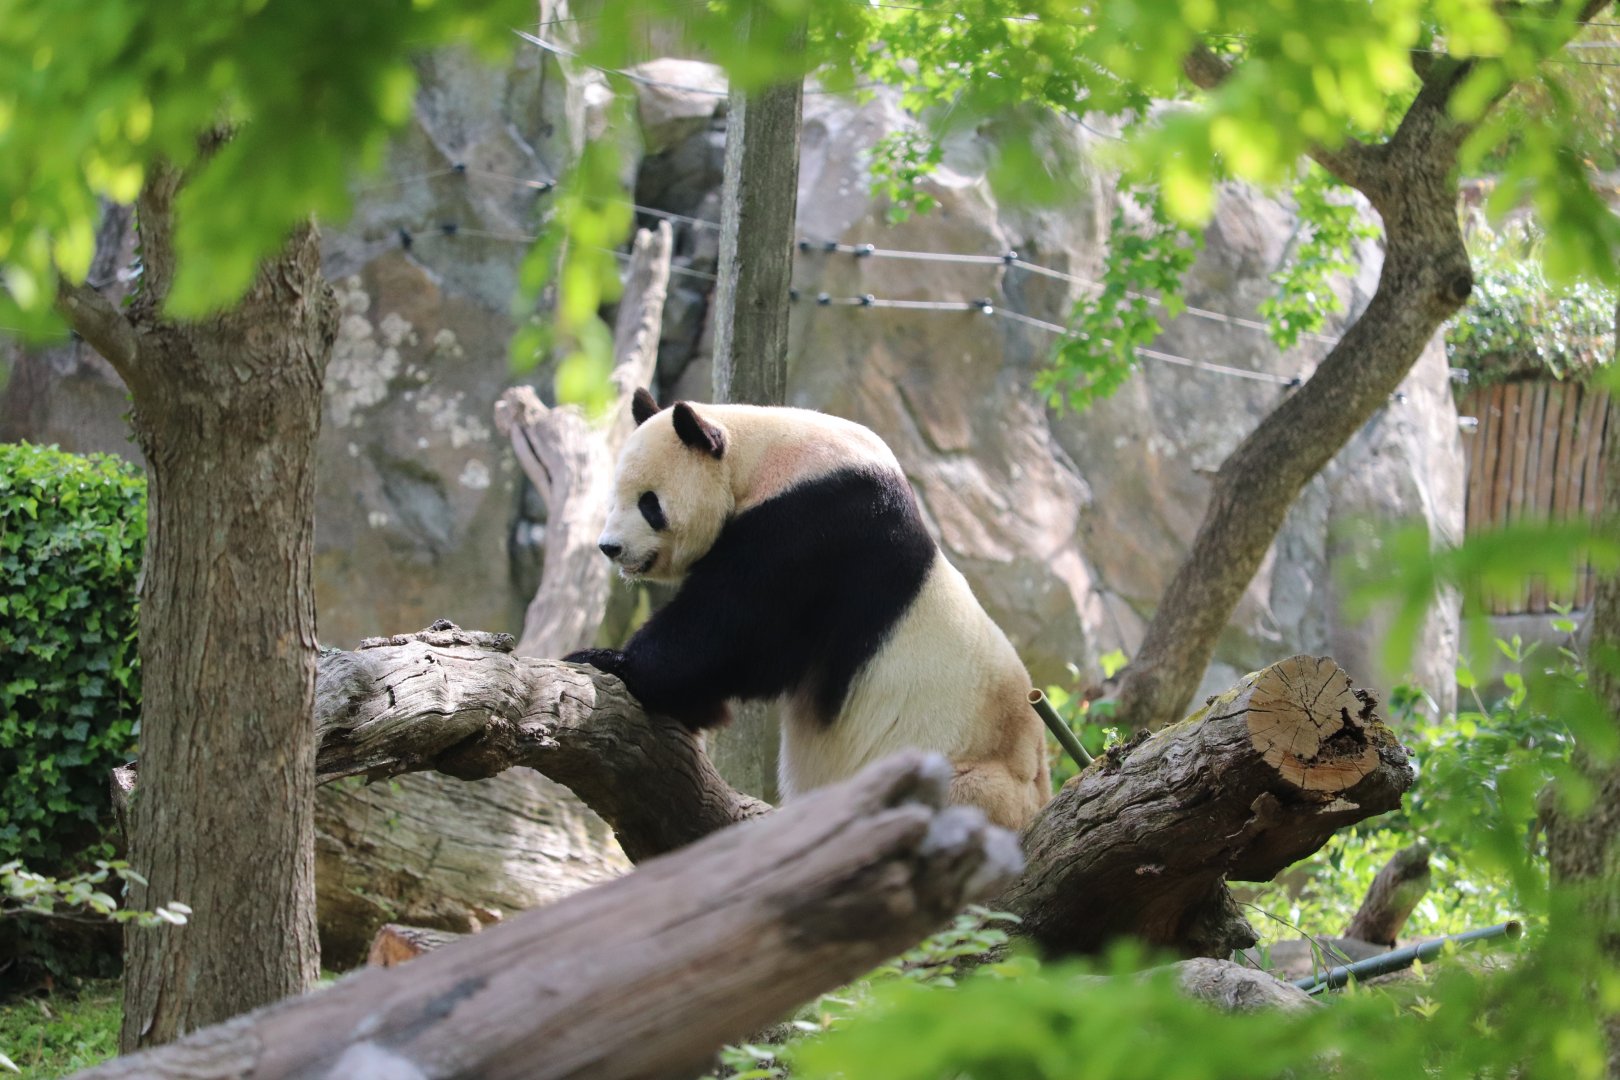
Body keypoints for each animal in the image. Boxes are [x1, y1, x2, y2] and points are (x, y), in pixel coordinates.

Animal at [564, 389, 1051, 830]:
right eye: (615, 497)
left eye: (649, 502)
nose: (610, 547)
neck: (760, 454)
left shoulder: (818, 523)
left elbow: (735, 628)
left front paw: (610, 660)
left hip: (971, 778)